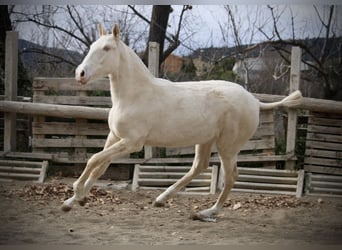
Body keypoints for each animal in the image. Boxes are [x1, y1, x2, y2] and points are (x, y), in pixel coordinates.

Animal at [61, 23, 302, 222]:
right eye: (92, 46)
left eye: (107, 48)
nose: (80, 74)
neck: (134, 95)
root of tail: (254, 100)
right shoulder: (115, 137)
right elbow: (99, 167)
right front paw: (72, 202)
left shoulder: (132, 143)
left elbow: (93, 160)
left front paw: (77, 191)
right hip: (206, 141)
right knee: (199, 167)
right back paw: (161, 199)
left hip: (227, 146)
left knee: (231, 176)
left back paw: (208, 212)